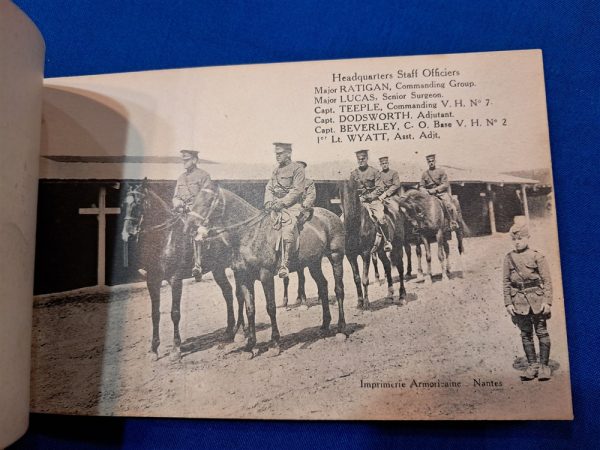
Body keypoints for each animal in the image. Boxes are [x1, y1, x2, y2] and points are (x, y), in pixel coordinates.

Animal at [120, 181, 245, 360]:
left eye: (138, 203)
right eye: (124, 204)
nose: (127, 235)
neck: (165, 238)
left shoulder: (175, 280)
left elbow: (175, 313)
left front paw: (176, 349)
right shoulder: (152, 281)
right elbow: (155, 314)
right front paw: (154, 349)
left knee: (240, 295)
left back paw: (240, 331)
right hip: (218, 269)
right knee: (227, 293)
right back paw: (228, 332)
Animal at [188, 186, 346, 356]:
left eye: (207, 201)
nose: (189, 226)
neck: (248, 234)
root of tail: (333, 216)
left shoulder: (266, 275)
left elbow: (270, 307)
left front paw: (274, 343)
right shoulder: (244, 278)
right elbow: (250, 309)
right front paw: (250, 345)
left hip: (336, 256)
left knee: (338, 289)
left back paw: (341, 329)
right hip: (313, 263)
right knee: (323, 287)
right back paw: (324, 325)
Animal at [338, 179, 408, 310]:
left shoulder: (366, 254)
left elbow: (365, 279)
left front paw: (366, 303)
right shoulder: (350, 256)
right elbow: (357, 279)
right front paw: (359, 302)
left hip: (397, 246)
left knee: (400, 268)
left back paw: (402, 297)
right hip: (380, 251)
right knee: (387, 266)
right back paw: (389, 296)